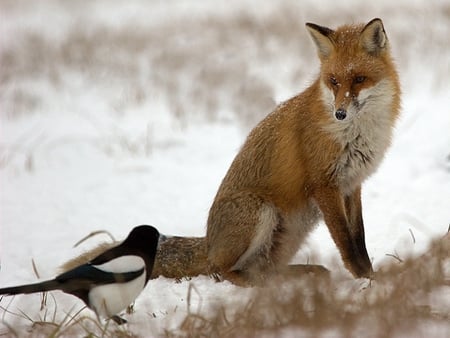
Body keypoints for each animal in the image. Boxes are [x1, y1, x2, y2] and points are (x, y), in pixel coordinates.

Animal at [60, 17, 400, 284]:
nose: (340, 113)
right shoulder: (324, 185)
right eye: (333, 81)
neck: (356, 134)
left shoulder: (351, 185)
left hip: (289, 232)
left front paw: (371, 276)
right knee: (222, 271)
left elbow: (359, 238)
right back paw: (258, 286)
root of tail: (209, 243)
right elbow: (346, 243)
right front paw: (365, 282)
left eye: (359, 79)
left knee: (263, 269)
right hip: (260, 211)